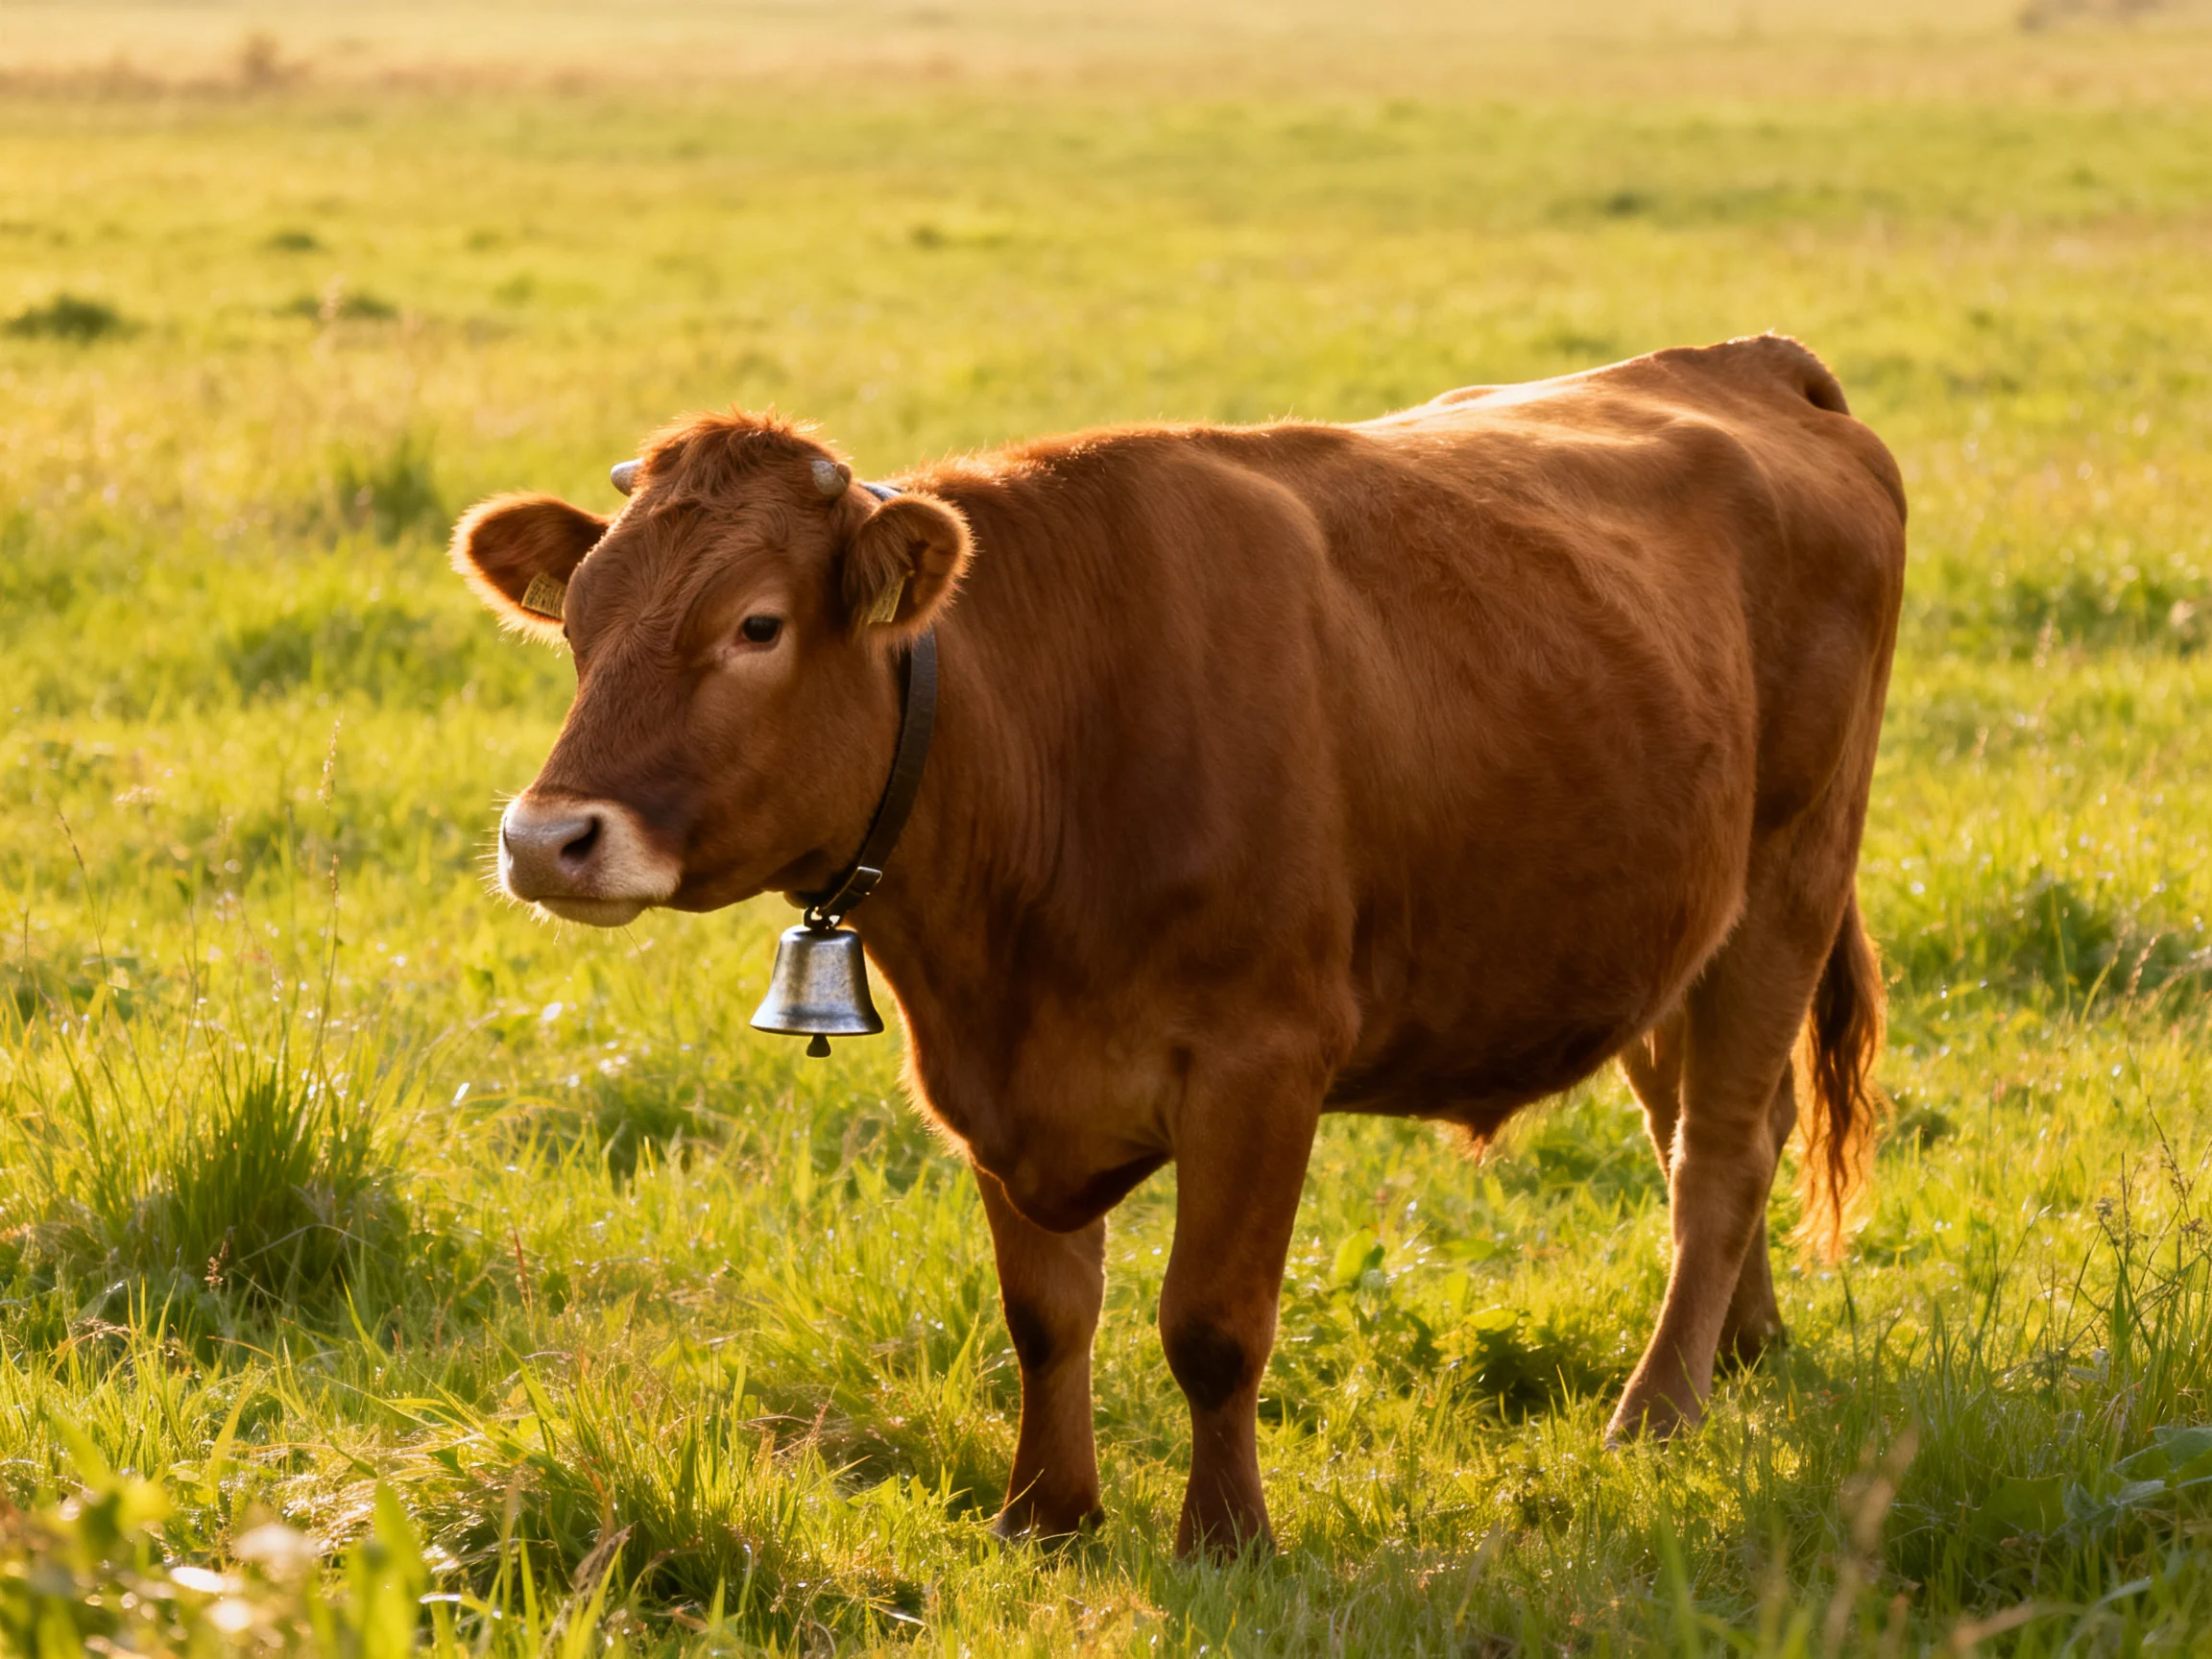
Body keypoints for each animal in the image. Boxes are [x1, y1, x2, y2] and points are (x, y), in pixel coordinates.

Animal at [450, 333, 1903, 1558]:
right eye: (580, 623)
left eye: (756, 623)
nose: (546, 838)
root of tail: (1747, 361)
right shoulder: (992, 1076)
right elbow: (1046, 1314)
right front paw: (1046, 1516)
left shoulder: (1264, 1063)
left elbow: (1210, 1325)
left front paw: (1225, 1540)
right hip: (1664, 924)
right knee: (1711, 1125)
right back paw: (1743, 1346)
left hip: (1793, 873)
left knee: (1721, 1151)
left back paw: (1659, 1408)